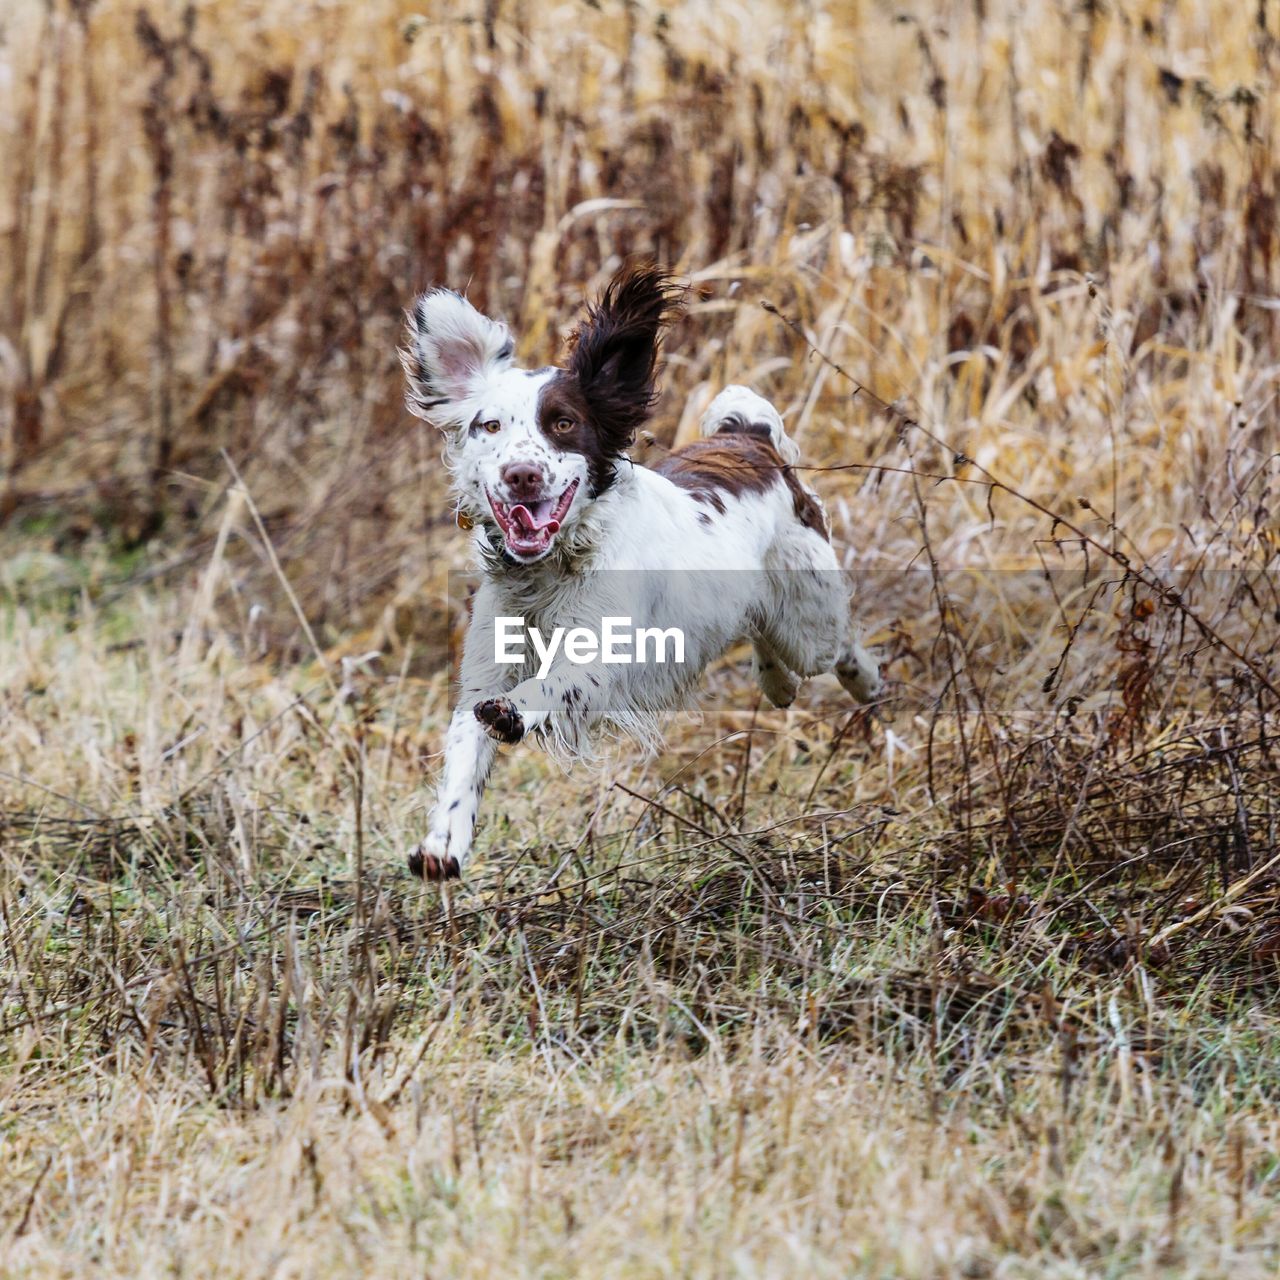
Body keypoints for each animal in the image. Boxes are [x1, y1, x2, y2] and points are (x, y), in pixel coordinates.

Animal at [399, 263, 880, 875]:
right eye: (489, 427)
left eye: (562, 423)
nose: (522, 475)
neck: (551, 572)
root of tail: (748, 437)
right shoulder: (484, 669)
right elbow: (466, 748)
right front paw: (444, 844)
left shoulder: (601, 662)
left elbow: (547, 687)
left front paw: (513, 713)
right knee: (758, 629)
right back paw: (778, 684)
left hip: (808, 622)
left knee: (838, 643)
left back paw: (864, 682)